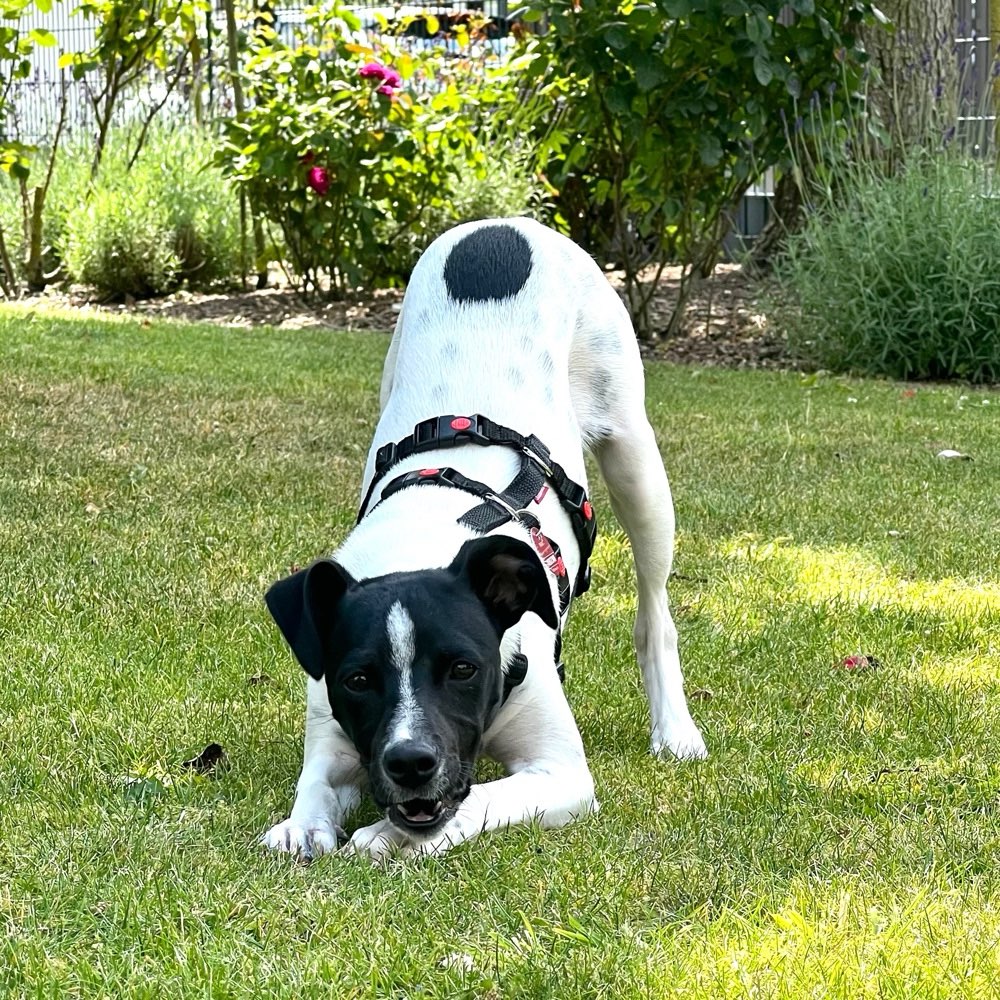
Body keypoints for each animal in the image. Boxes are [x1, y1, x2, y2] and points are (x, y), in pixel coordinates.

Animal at [262, 219, 708, 860]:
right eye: (358, 680)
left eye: (463, 669)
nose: (410, 763)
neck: (419, 541)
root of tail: (504, 224)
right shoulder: (333, 731)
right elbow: (316, 786)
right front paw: (302, 825)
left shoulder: (562, 775)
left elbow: (478, 798)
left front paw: (387, 836)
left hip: (636, 460)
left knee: (655, 612)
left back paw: (674, 729)